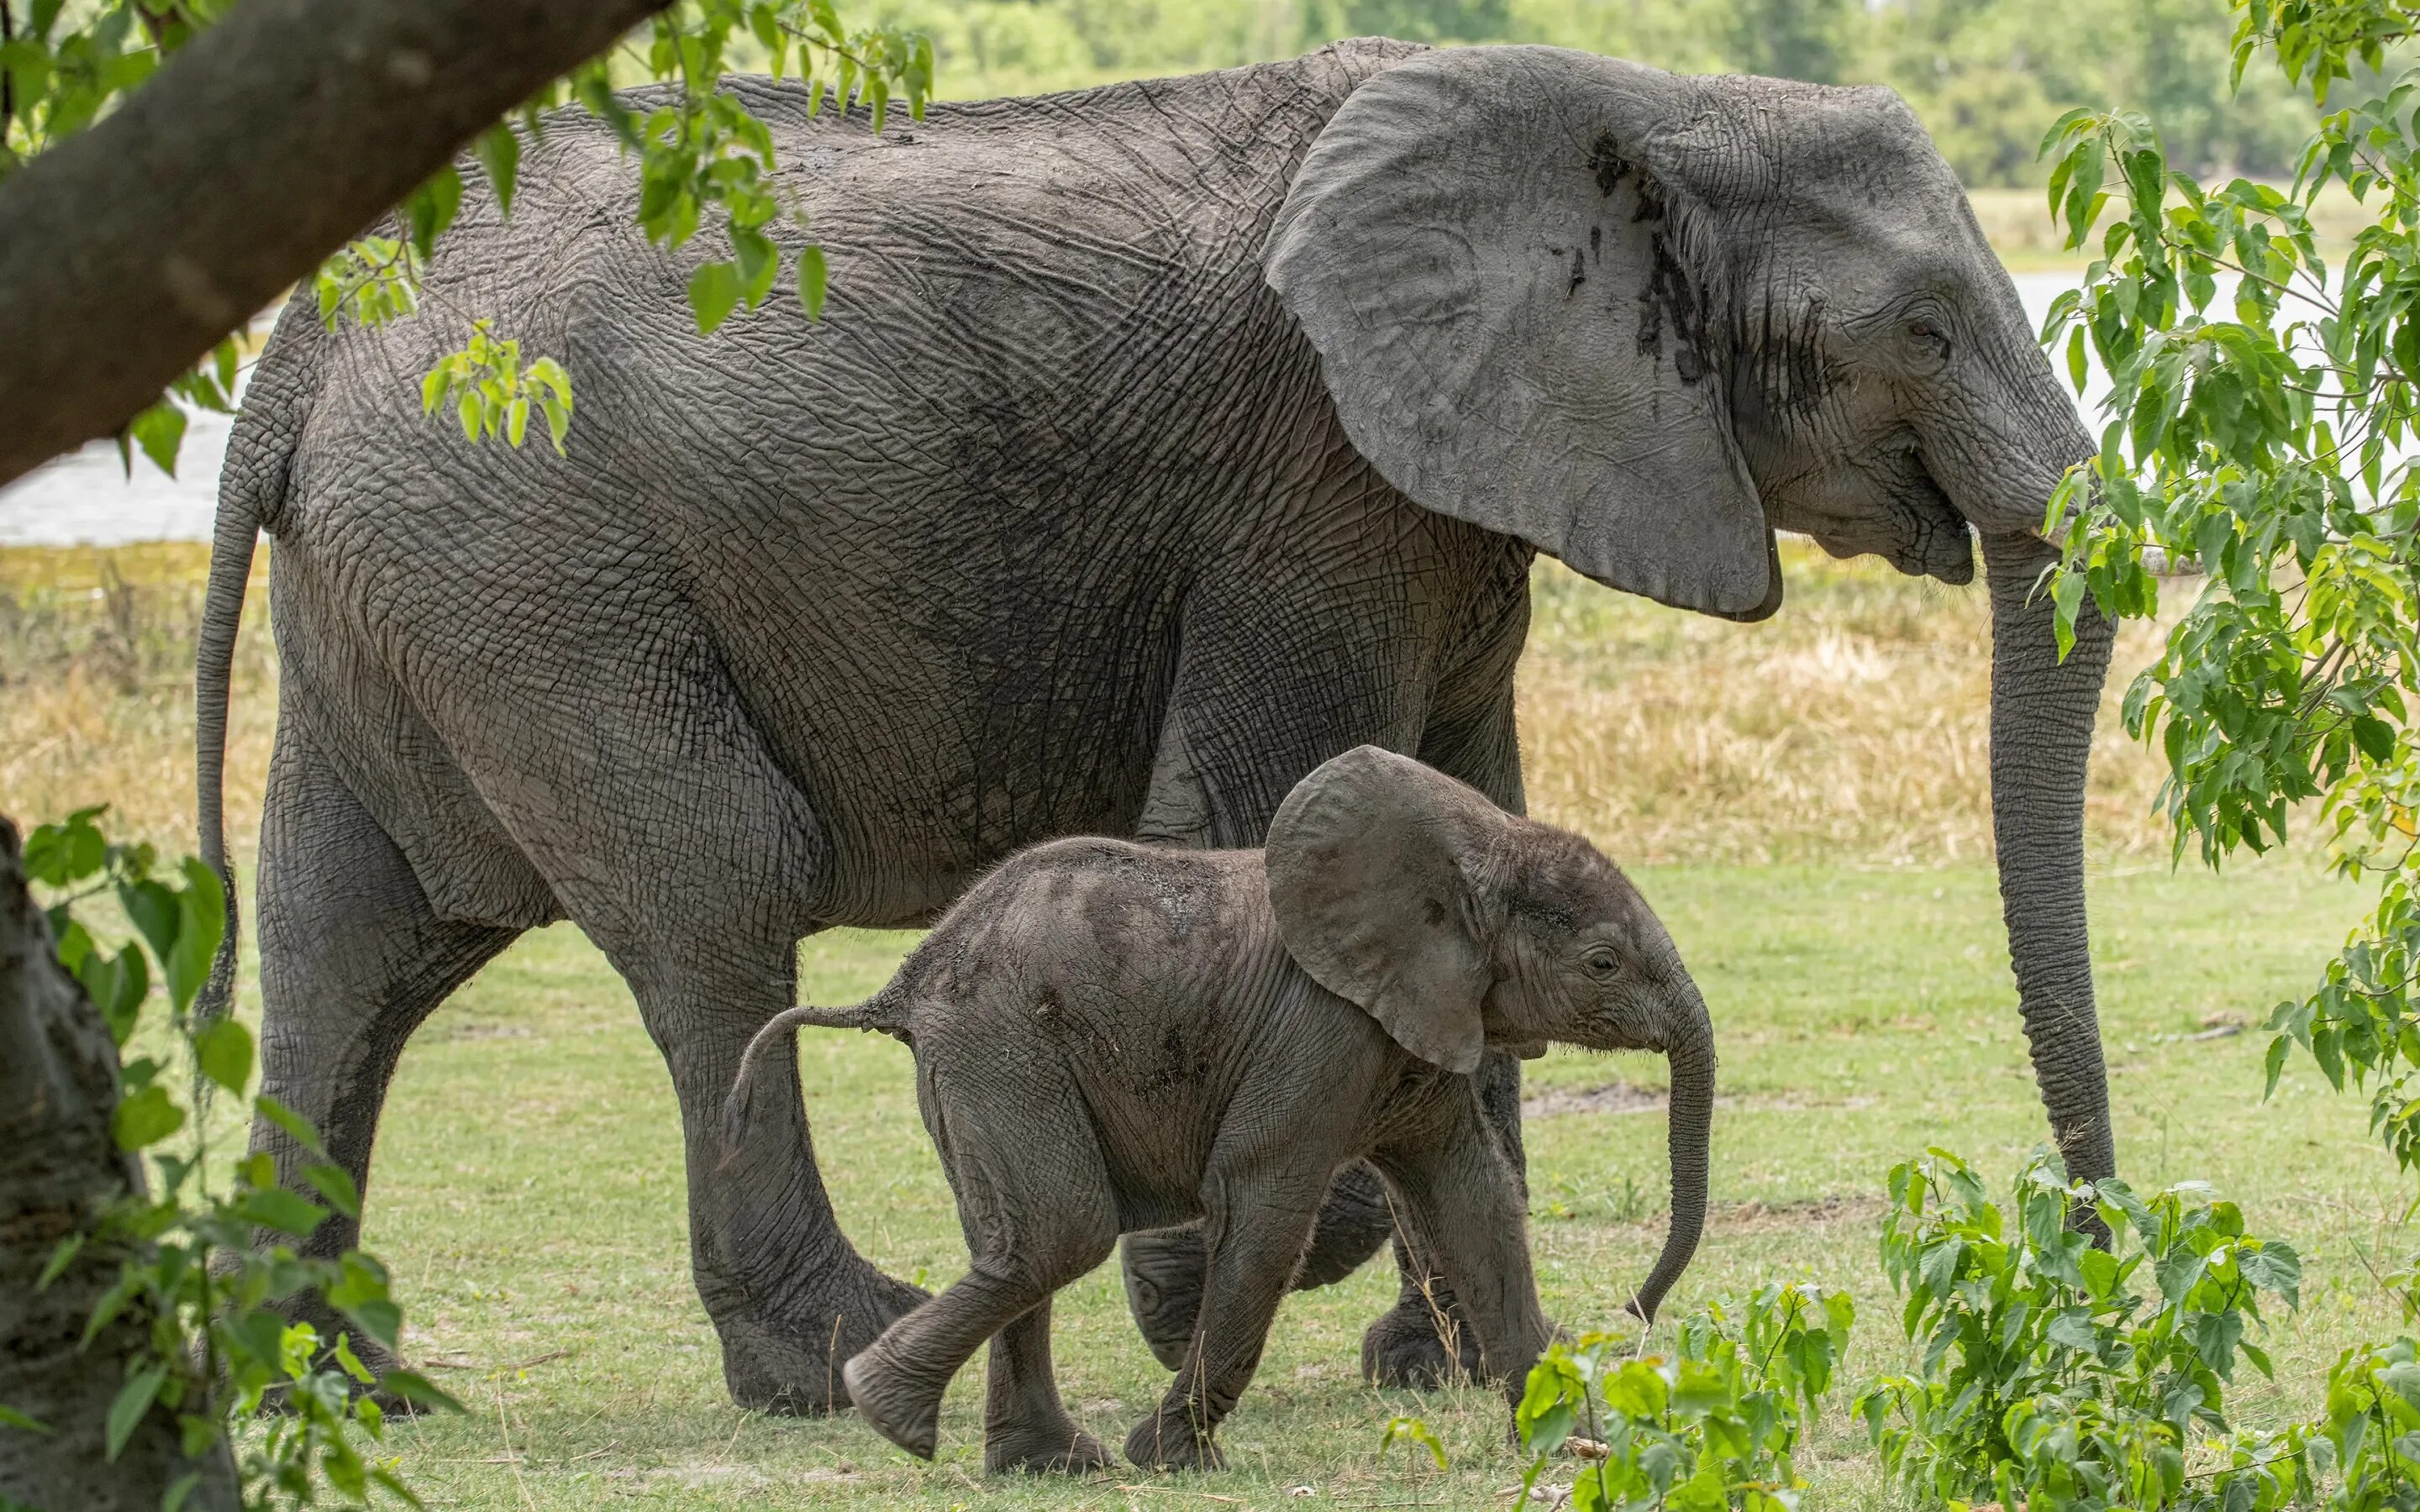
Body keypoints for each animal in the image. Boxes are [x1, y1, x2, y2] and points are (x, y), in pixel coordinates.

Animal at [721, 745, 1723, 1471]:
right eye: (1602, 964)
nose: (1630, 1316)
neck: (1480, 844)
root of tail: (907, 980)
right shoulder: (1321, 1029)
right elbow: (1266, 1209)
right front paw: (1169, 1460)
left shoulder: (1413, 1025)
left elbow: (1473, 1199)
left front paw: (1571, 1441)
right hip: (1001, 1047)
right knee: (1057, 1235)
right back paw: (890, 1411)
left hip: (981, 1060)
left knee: (1014, 1244)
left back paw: (1047, 1465)